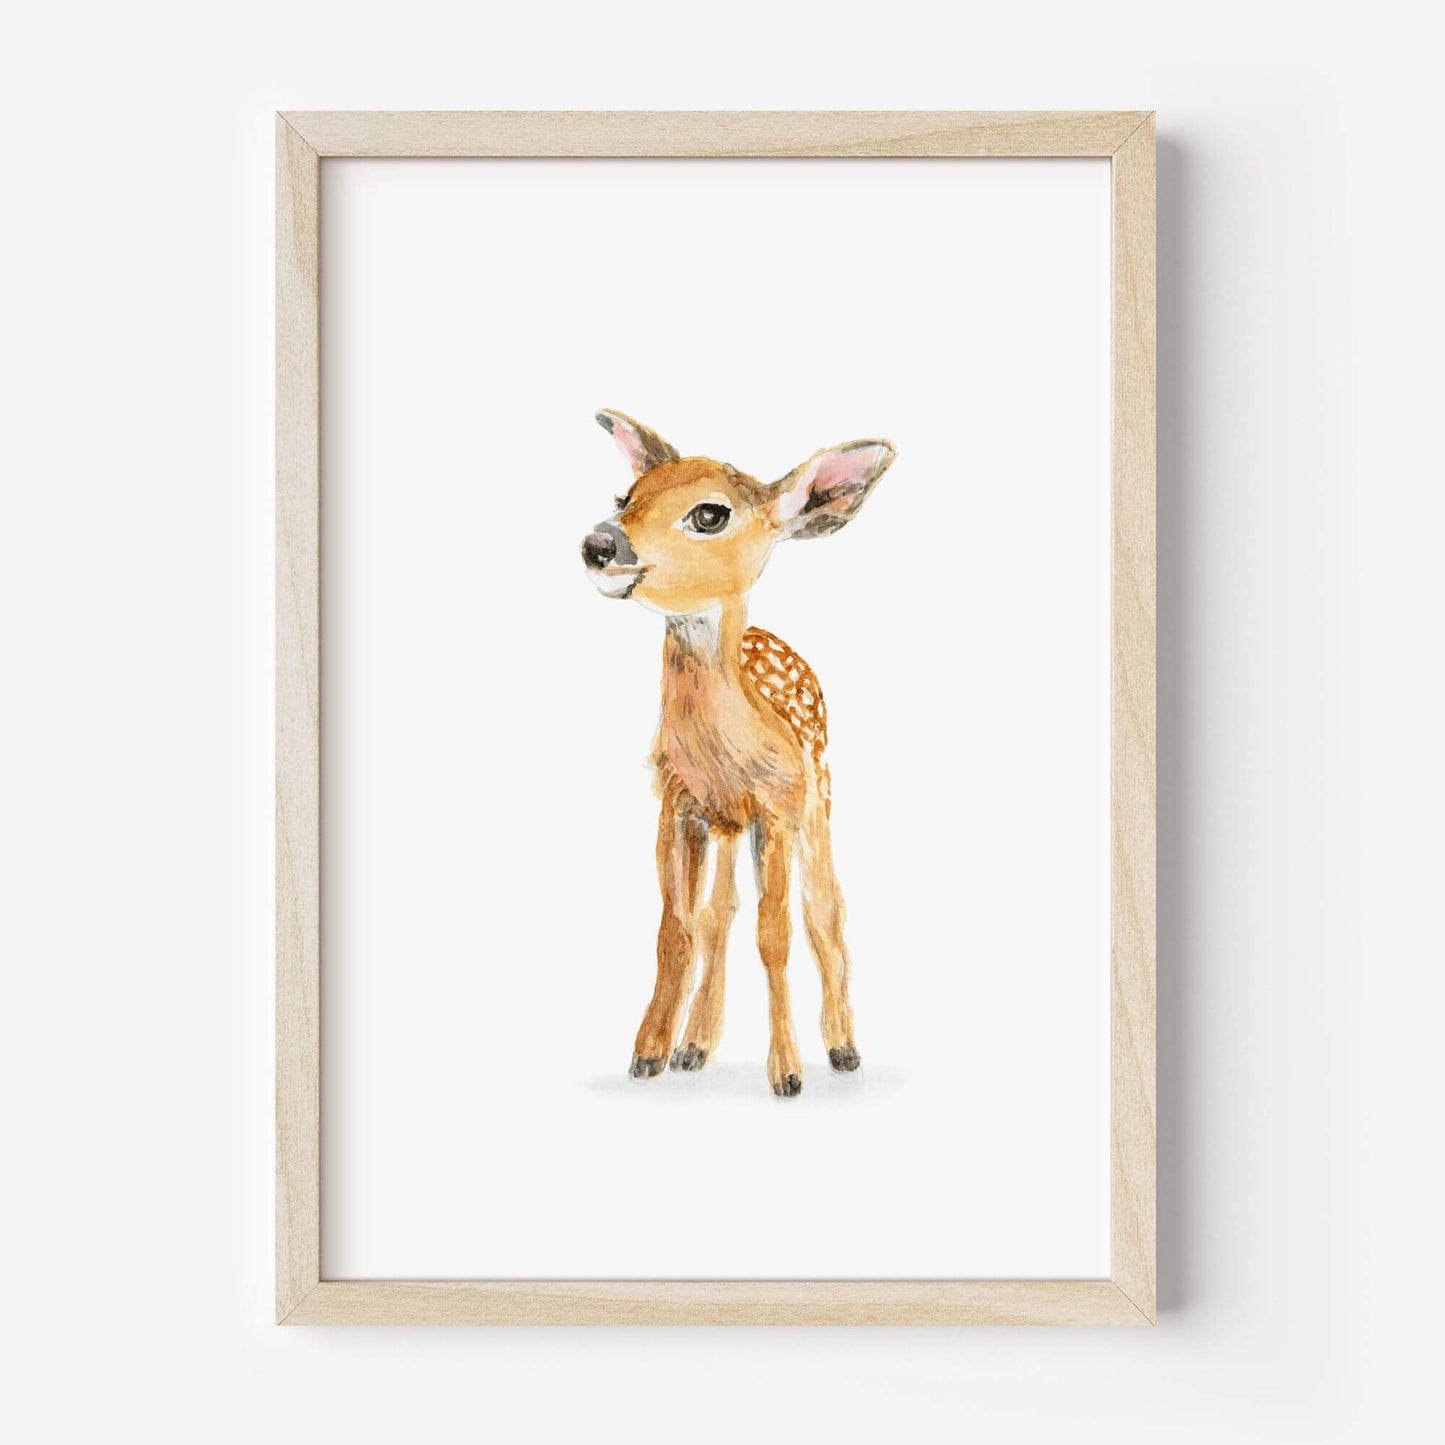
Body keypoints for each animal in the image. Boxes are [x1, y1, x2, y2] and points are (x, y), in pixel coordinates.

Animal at [580, 410, 896, 1098]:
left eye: (710, 514)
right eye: (624, 497)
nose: (599, 543)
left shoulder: (777, 804)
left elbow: (775, 933)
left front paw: (788, 1074)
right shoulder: (677, 801)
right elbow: (678, 928)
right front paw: (647, 1055)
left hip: (817, 791)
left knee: (825, 908)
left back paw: (843, 1049)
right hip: (729, 824)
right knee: (719, 913)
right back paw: (695, 1047)